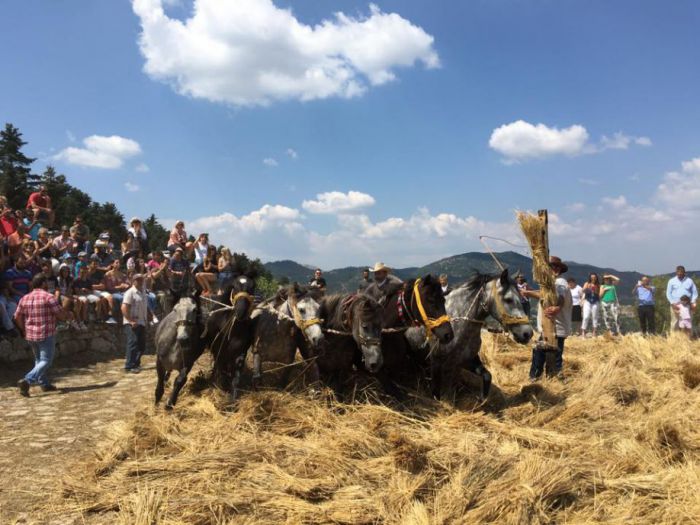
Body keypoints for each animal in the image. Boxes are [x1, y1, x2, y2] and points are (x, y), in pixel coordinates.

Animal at [204, 272, 258, 400]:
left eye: (252, 287)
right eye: (234, 286)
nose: (241, 311)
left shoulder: (240, 352)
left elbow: (236, 377)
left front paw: (232, 398)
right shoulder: (218, 349)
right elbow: (218, 367)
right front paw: (217, 385)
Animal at [408, 268, 532, 400]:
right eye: (508, 299)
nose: (527, 333)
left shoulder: (466, 360)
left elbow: (487, 376)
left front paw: (482, 399)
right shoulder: (436, 363)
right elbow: (436, 392)